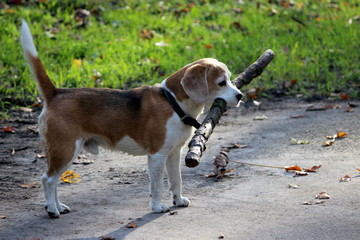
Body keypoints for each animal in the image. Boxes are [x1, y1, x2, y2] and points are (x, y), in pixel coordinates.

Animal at [20, 19, 245, 218]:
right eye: (221, 82)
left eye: (229, 79)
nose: (241, 96)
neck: (173, 102)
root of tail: (56, 93)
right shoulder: (157, 156)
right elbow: (157, 185)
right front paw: (158, 207)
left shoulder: (174, 153)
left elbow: (176, 180)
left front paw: (178, 200)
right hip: (65, 149)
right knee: (47, 179)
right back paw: (52, 209)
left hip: (66, 152)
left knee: (54, 180)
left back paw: (59, 206)